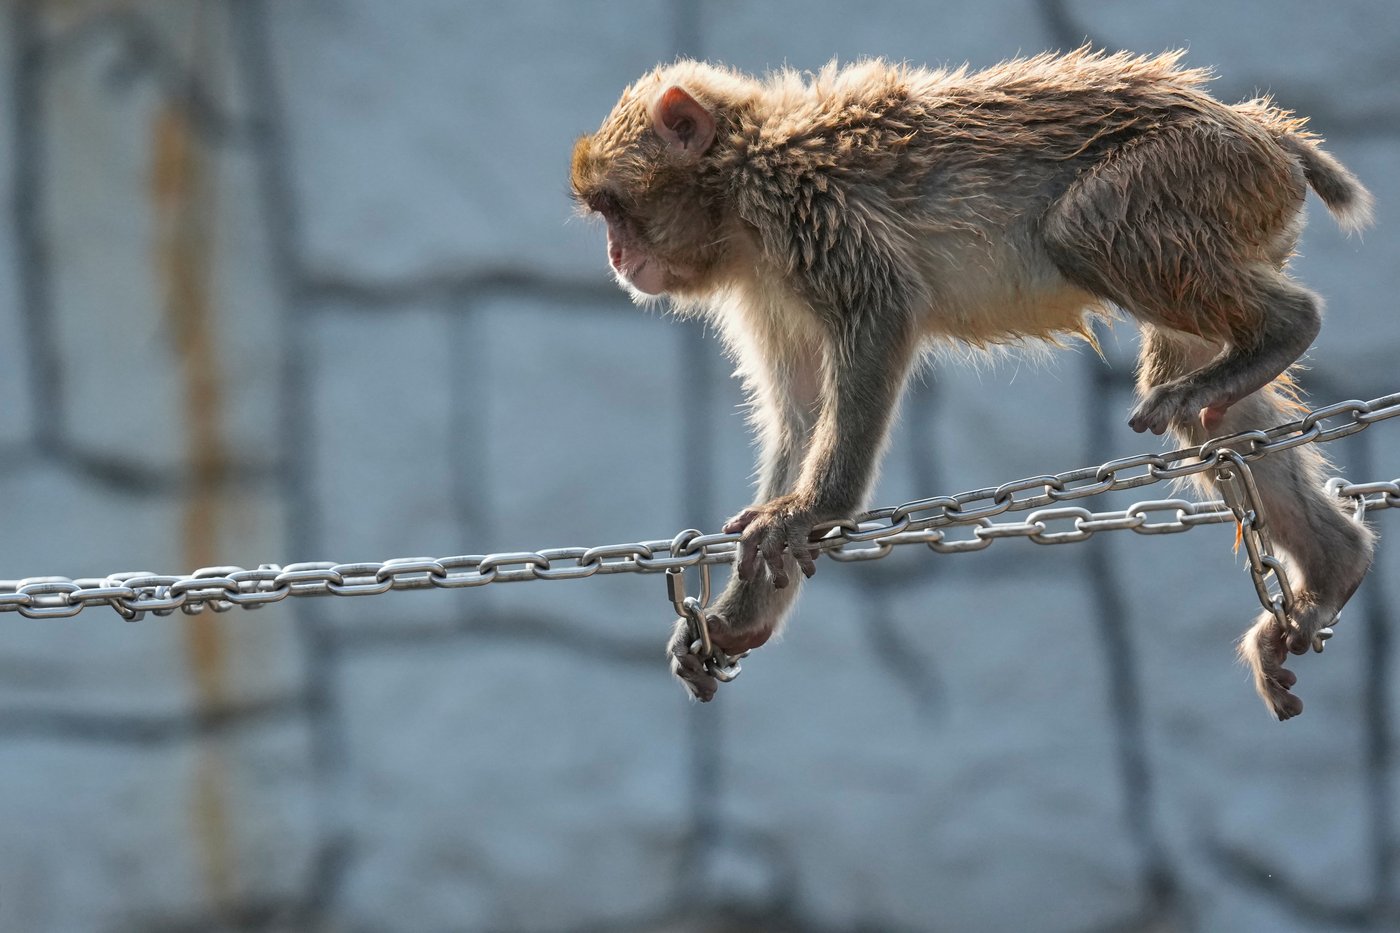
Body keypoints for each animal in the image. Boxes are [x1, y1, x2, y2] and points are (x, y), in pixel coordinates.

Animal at [569, 49, 1375, 720]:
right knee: (1212, 415)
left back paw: (1286, 329)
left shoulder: (804, 207)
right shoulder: (765, 284)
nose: (615, 255)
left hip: (1191, 169)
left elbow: (879, 315)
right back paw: (1330, 565)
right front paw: (741, 615)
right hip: (1233, 208)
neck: (739, 183)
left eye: (615, 208)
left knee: (1083, 226)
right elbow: (799, 411)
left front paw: (811, 510)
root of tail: (1260, 131)